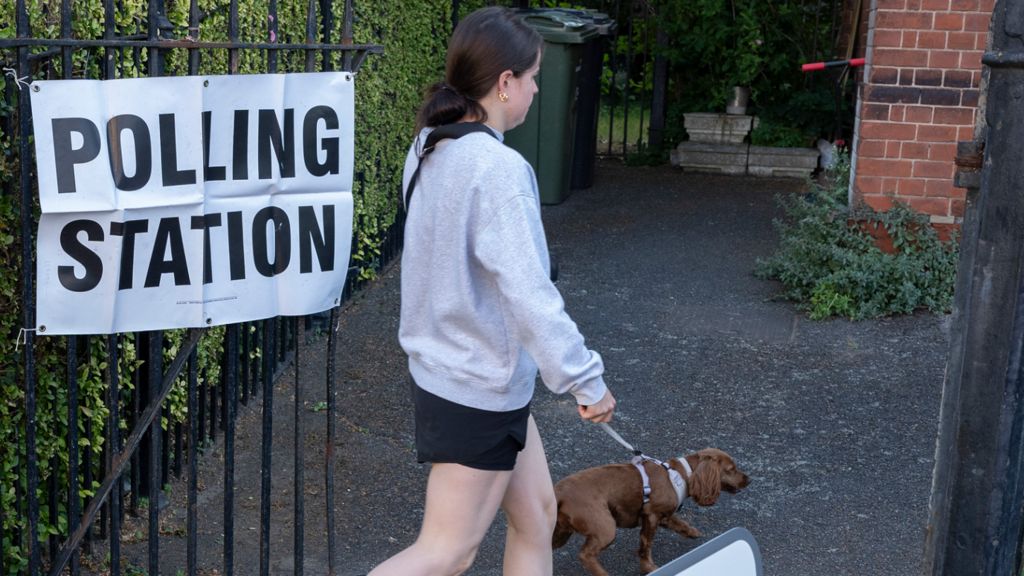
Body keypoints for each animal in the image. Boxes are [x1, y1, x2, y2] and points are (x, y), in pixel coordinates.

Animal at [557, 448, 749, 573]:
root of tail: (559, 492)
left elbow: (677, 521)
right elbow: (646, 545)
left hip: (560, 533)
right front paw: (648, 567)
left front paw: (692, 532)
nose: (750, 480)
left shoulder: (664, 515)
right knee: (585, 554)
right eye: (731, 469)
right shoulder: (651, 515)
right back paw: (602, 573)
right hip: (605, 527)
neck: (681, 475)